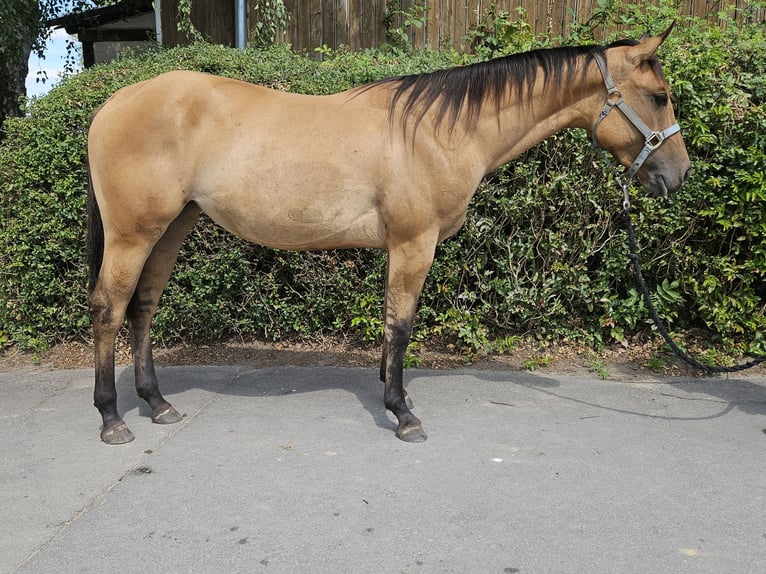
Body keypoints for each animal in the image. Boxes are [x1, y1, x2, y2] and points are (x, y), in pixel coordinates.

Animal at [87, 26, 691, 445]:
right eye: (660, 95)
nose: (679, 175)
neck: (439, 132)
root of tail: (115, 101)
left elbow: (390, 325)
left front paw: (388, 392)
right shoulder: (413, 243)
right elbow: (400, 326)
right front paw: (402, 413)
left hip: (172, 227)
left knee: (142, 308)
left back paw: (157, 403)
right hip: (133, 234)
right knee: (109, 310)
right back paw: (113, 417)